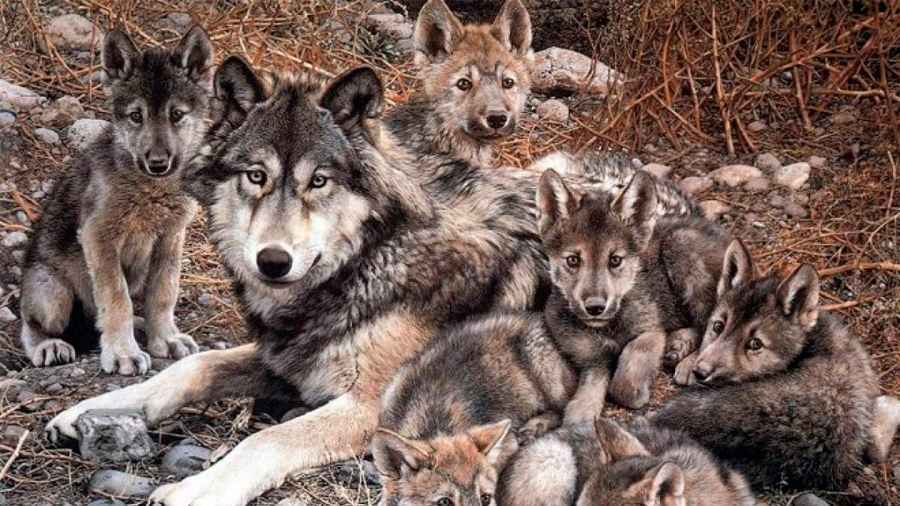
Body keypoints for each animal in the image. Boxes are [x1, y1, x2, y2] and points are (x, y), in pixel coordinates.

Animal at [19, 26, 213, 375]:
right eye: (136, 116)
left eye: (176, 115)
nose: (158, 163)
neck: (150, 190)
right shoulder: (98, 237)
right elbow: (115, 299)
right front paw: (123, 353)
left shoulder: (170, 238)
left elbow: (163, 294)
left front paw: (165, 338)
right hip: (52, 295)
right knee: (31, 325)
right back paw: (49, 345)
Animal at [373, 312, 576, 506]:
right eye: (444, 502)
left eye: (485, 498)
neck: (431, 420)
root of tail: (536, 317)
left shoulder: (507, 445)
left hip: (543, 366)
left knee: (564, 410)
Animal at [537, 168, 729, 423]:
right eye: (573, 260)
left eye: (615, 260)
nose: (595, 307)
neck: (607, 327)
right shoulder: (592, 359)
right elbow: (586, 397)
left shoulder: (651, 332)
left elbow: (626, 376)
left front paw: (637, 393)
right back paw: (678, 345)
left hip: (681, 245)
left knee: (710, 320)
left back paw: (688, 362)